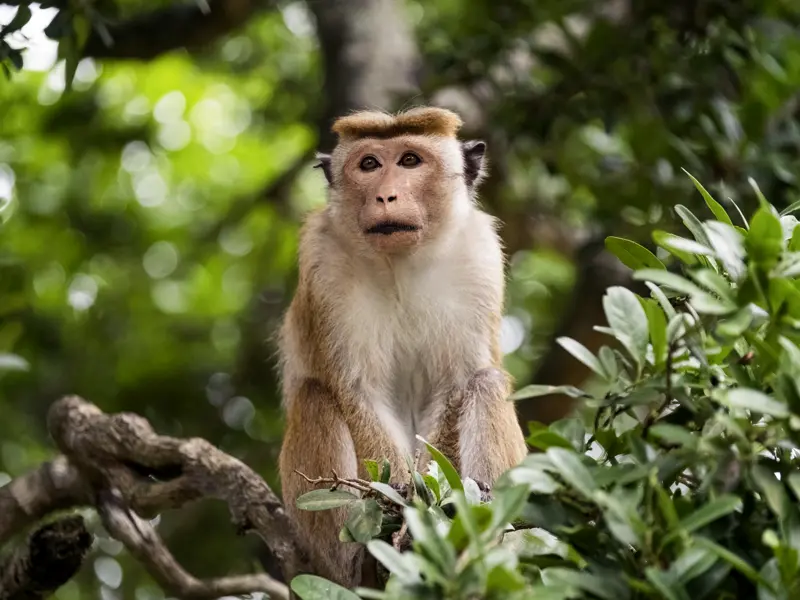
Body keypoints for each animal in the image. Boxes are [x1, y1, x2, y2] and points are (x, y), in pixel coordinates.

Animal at [278, 106, 528, 584]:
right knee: (314, 396)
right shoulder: (323, 262)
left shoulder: (479, 256)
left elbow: (457, 384)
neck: (401, 263)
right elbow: (355, 389)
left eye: (410, 160)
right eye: (369, 164)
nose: (386, 196)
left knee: (486, 383)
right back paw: (360, 563)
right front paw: (397, 496)